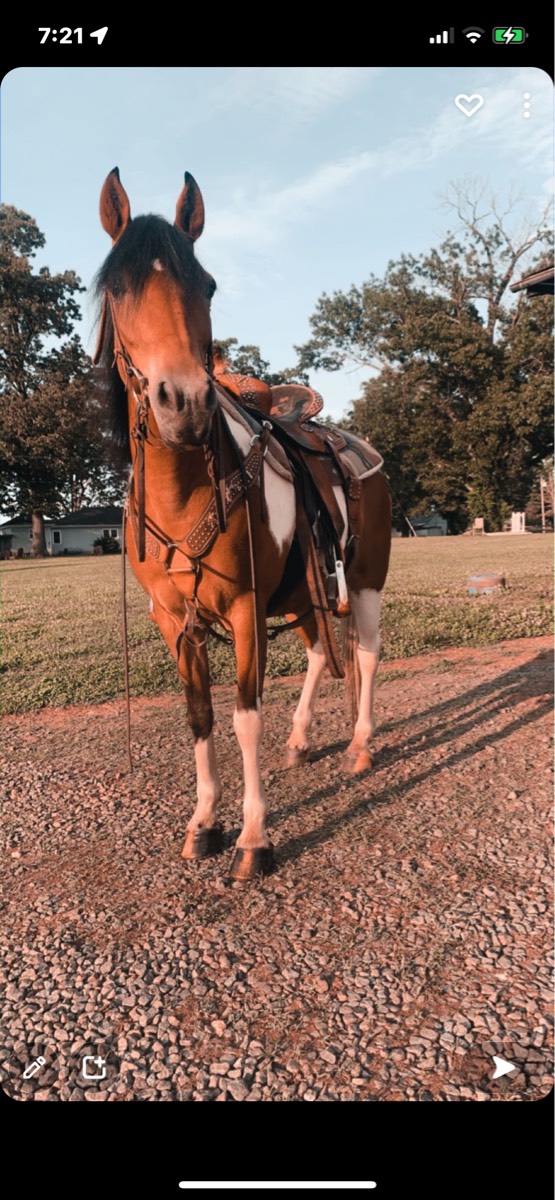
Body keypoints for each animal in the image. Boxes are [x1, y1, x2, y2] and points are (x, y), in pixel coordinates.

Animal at [94, 167, 391, 880]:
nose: (184, 402)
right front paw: (204, 822)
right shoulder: (176, 620)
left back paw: (360, 745)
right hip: (307, 592)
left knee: (367, 654)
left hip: (364, 582)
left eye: (206, 285)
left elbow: (244, 716)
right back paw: (303, 738)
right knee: (320, 652)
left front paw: (254, 838)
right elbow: (201, 716)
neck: (185, 493)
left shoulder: (246, 607)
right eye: (117, 288)